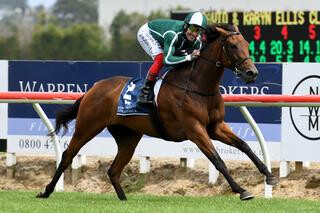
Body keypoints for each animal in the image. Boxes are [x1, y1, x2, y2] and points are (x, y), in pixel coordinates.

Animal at [37, 24, 278, 201]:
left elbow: (244, 145)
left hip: (128, 137)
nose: (252, 73)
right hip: (87, 126)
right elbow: (217, 160)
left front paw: (269, 176)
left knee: (113, 170)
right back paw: (46, 191)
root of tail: (94, 88)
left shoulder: (215, 126)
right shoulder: (195, 129)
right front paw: (242, 190)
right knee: (67, 156)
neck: (198, 86)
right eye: (234, 46)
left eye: (246, 44)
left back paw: (124, 199)